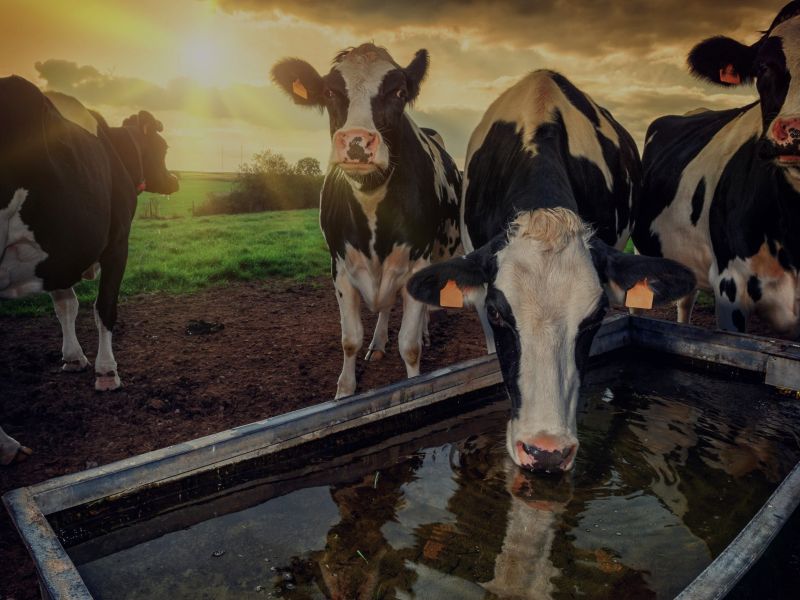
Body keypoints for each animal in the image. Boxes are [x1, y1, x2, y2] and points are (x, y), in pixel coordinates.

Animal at [0, 75, 178, 396]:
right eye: (163, 147)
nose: (175, 180)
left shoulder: (59, 252)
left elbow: (66, 305)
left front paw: (73, 358)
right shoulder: (117, 243)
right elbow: (104, 306)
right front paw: (107, 371)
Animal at [271, 44, 462, 398]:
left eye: (399, 92)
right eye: (330, 92)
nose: (357, 141)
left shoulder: (416, 262)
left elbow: (409, 345)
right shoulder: (341, 267)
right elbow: (350, 340)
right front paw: (345, 390)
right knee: (384, 307)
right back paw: (378, 343)